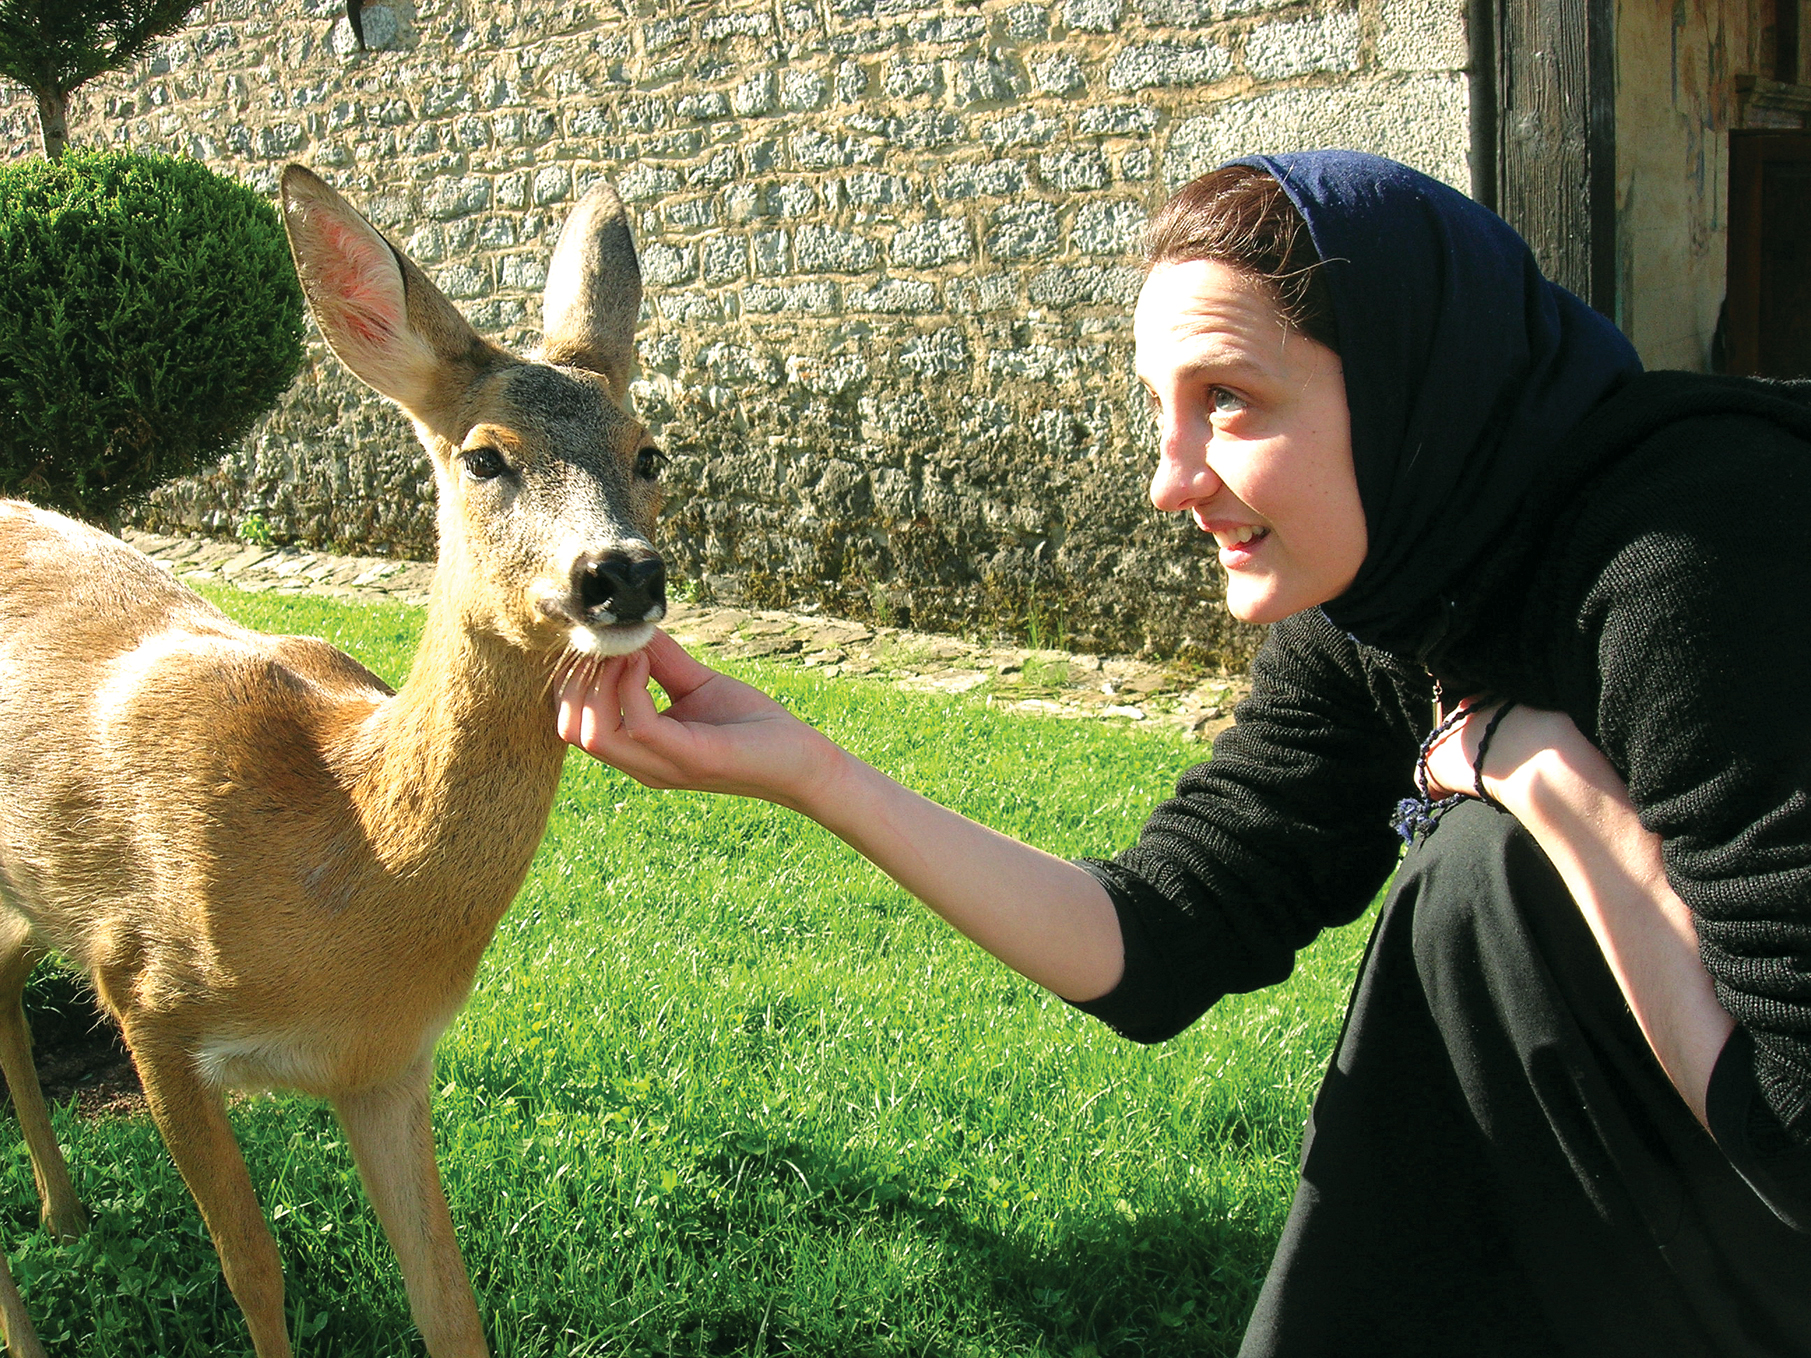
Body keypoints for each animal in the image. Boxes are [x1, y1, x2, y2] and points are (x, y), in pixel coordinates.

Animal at [0, 164, 670, 1354]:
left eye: (650, 452)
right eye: (483, 456)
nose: (621, 572)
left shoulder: (387, 1060)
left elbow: (447, 1298)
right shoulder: (146, 996)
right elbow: (252, 1267)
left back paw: (65, 1211)